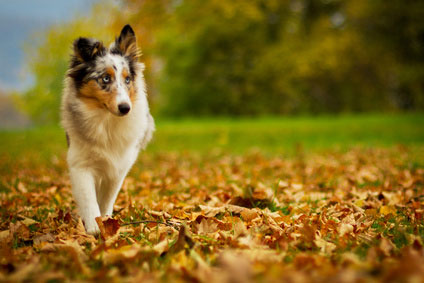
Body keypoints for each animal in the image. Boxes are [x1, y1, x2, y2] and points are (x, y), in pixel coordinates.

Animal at [60, 25, 155, 235]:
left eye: (127, 80)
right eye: (105, 78)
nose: (125, 108)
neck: (106, 121)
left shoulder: (118, 167)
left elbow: (106, 200)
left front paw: (105, 222)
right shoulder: (81, 165)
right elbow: (89, 199)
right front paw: (94, 227)